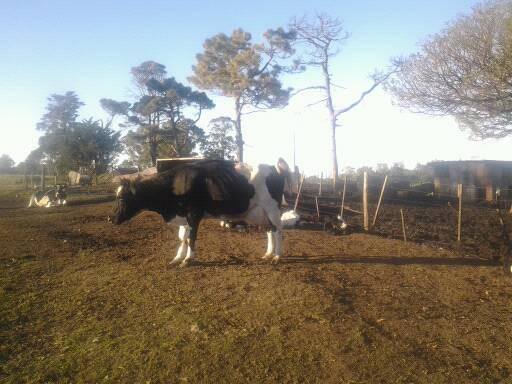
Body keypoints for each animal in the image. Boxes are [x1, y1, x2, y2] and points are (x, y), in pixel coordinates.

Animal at [111, 158, 292, 266]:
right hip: (260, 212)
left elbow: (191, 238)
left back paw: (277, 256)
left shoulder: (194, 214)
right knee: (270, 230)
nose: (110, 218)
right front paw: (177, 258)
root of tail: (273, 168)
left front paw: (188, 259)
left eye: (121, 198)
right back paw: (268, 254)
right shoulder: (183, 216)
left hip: (272, 208)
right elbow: (182, 238)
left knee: (278, 230)